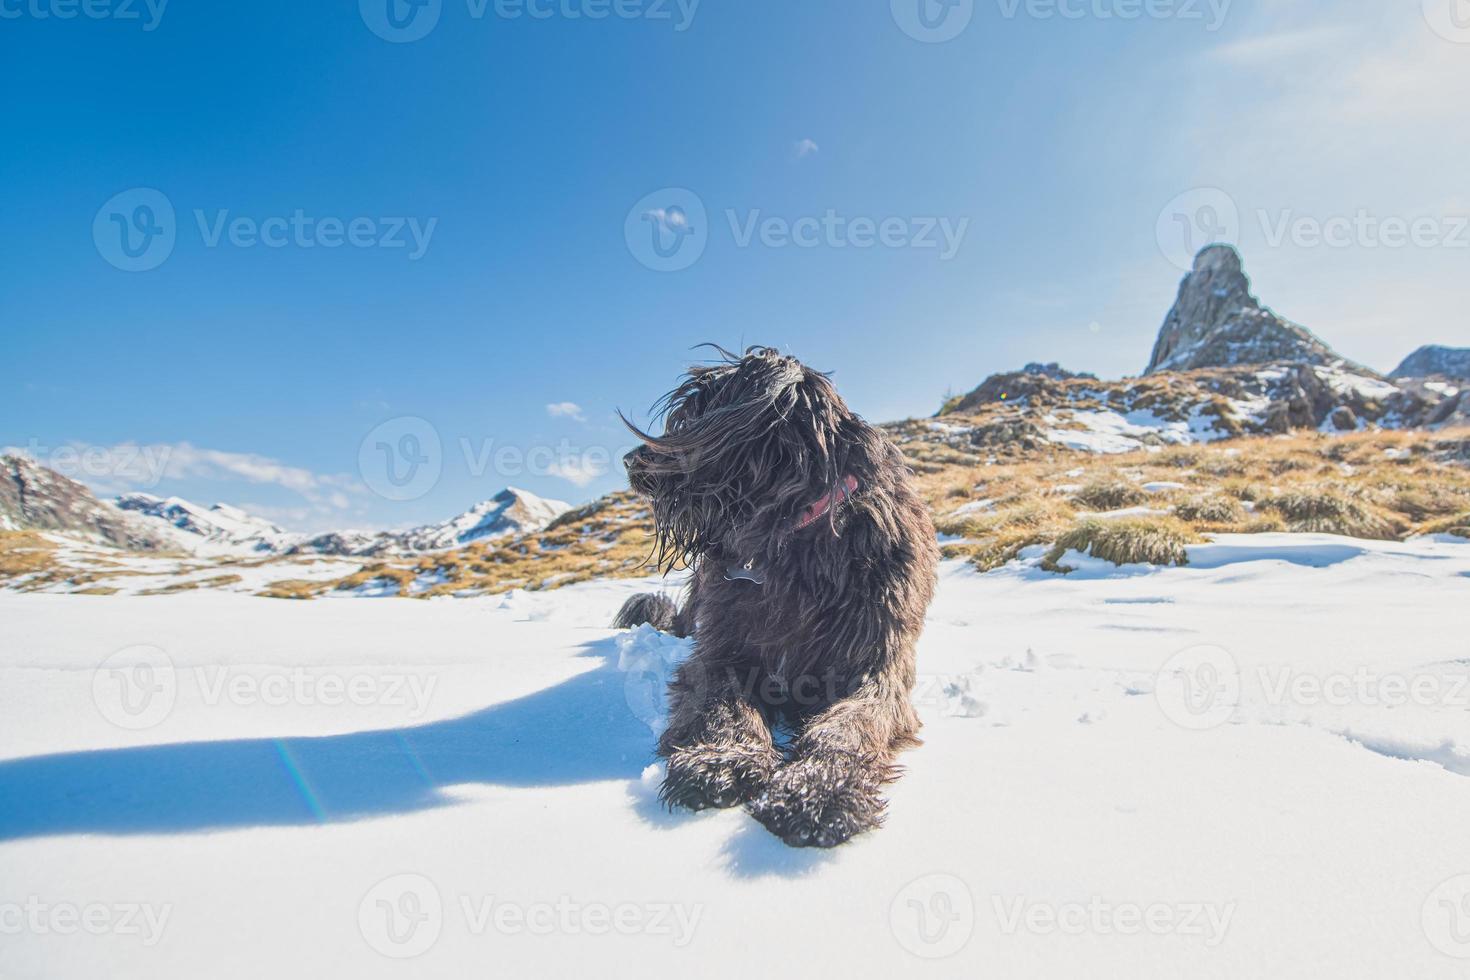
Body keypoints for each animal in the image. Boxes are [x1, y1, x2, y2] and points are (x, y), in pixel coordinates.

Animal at [614, 348, 934, 846]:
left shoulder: (879, 666)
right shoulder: (720, 654)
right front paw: (723, 761)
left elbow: (849, 724)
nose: (630, 461)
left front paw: (817, 789)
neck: (795, 539)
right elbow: (726, 705)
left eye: (693, 416)